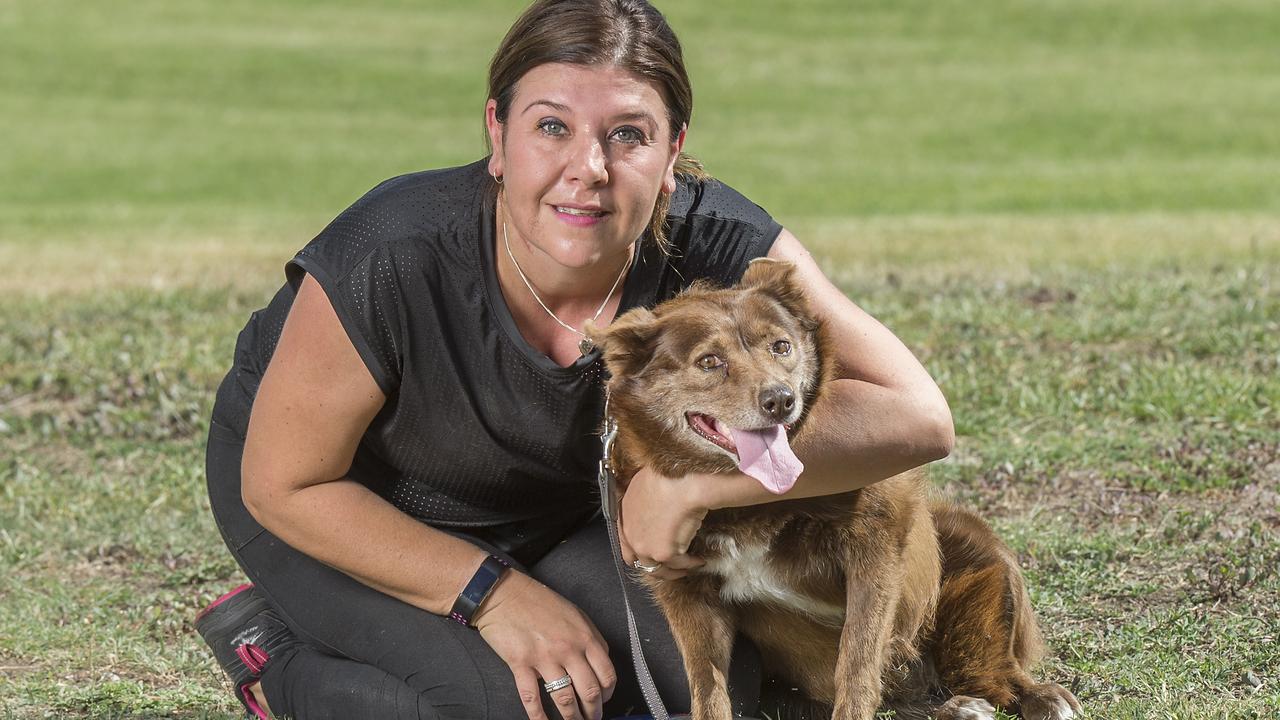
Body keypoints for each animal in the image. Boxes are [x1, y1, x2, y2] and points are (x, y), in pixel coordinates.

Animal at [591, 258, 1080, 717]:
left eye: (781, 346)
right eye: (709, 362)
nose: (780, 399)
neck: (745, 503)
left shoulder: (878, 542)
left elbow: (858, 662)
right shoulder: (683, 590)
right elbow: (706, 686)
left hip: (973, 551)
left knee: (990, 670)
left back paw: (1033, 697)